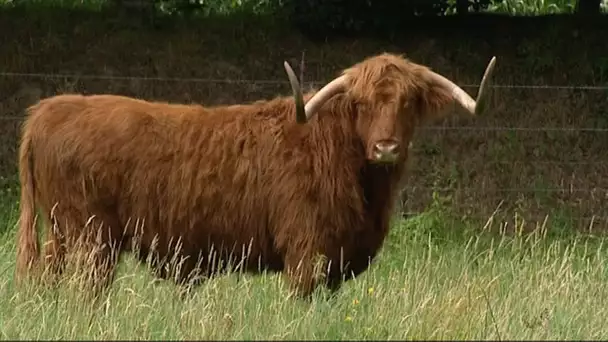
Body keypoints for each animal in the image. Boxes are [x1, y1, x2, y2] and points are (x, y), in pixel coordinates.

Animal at [14, 52, 496, 298]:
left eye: (408, 102)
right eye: (360, 104)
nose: (386, 148)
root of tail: (49, 109)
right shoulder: (306, 252)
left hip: (63, 234)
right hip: (91, 238)